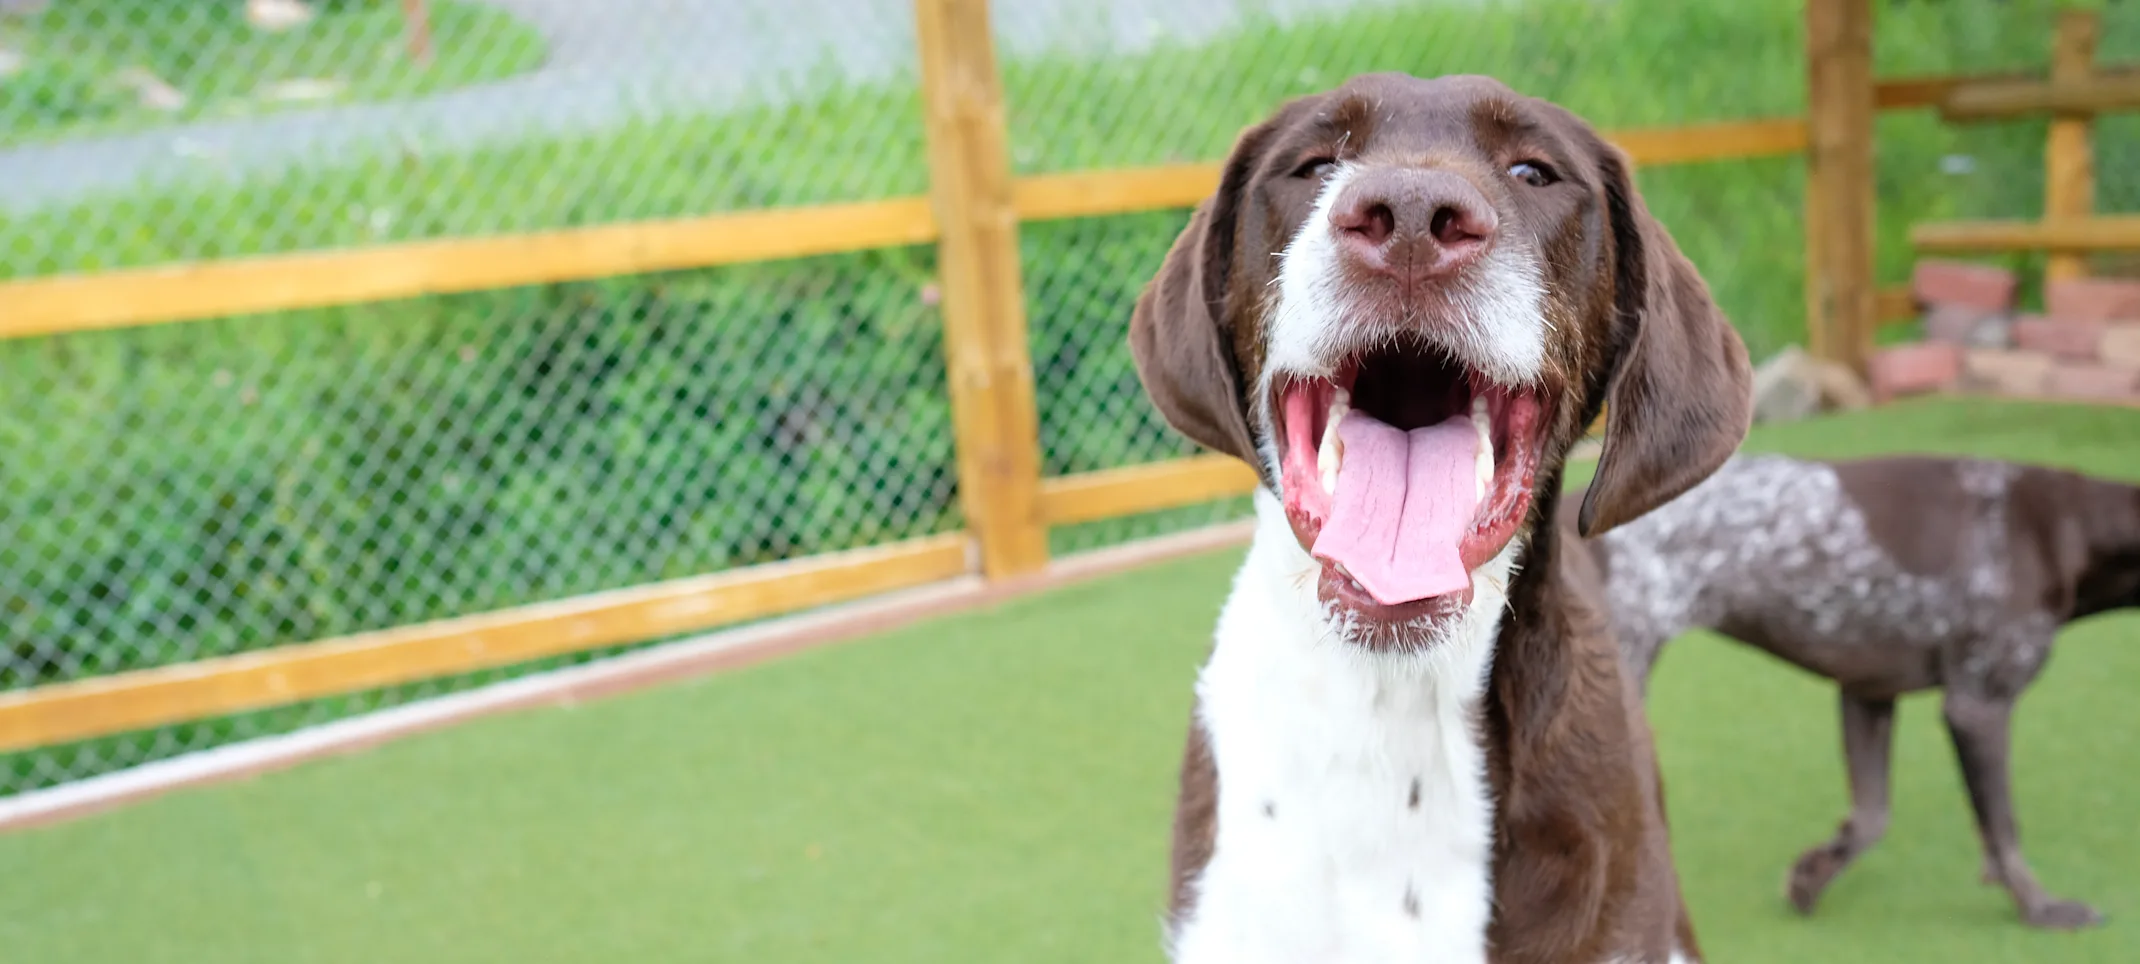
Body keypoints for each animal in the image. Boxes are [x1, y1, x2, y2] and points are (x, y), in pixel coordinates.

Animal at [1557, 456, 2140, 929]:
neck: (2060, 524)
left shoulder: (1867, 693)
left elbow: (1871, 818)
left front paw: (1813, 874)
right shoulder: (1978, 706)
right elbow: (2003, 831)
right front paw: (2040, 907)